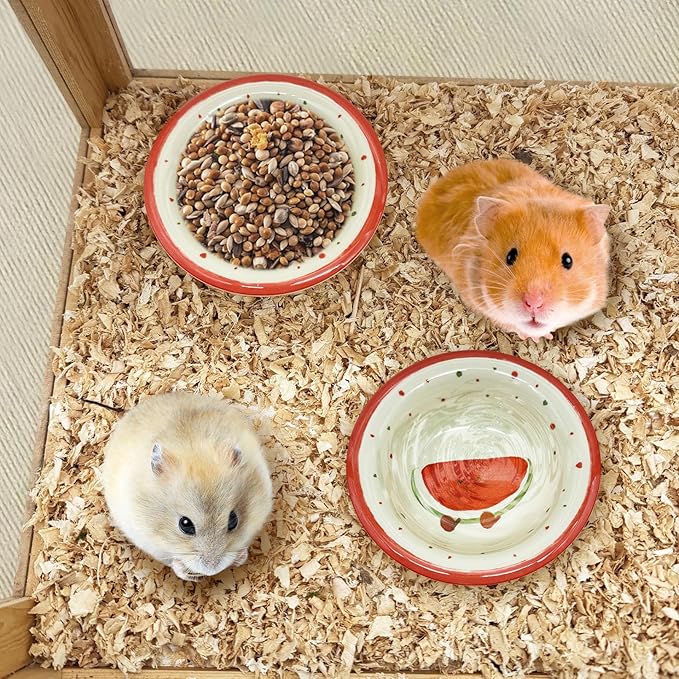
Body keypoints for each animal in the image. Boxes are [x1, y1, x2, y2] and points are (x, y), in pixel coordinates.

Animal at [102, 392, 273, 582]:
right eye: (185, 524)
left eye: (233, 520)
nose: (212, 570)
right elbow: (173, 561)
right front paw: (191, 577)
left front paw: (241, 557)